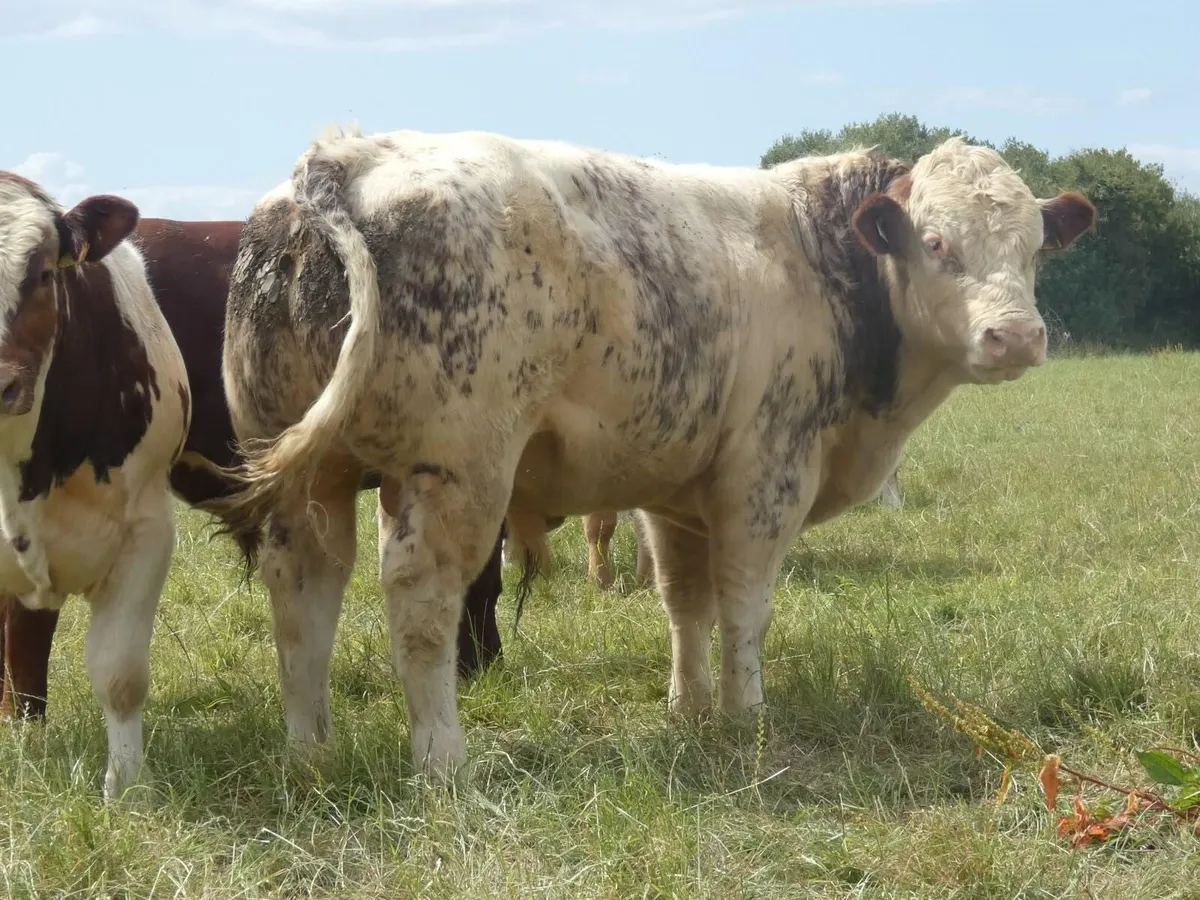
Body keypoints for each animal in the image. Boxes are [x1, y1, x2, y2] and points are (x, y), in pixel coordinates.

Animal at [210, 129, 1095, 784]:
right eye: (937, 243)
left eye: (1034, 248)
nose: (1017, 337)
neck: (826, 264)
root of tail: (348, 156)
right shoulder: (765, 477)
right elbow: (745, 606)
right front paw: (746, 714)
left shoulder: (676, 499)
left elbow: (685, 604)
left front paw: (689, 705)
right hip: (456, 471)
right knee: (421, 603)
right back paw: (442, 761)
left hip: (307, 481)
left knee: (304, 595)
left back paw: (309, 748)